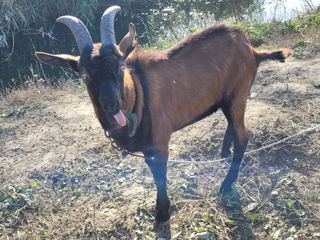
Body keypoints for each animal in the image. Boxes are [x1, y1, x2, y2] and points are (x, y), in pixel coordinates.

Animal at [36, 6, 292, 223]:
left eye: (121, 67)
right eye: (84, 75)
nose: (112, 105)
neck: (138, 95)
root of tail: (252, 49)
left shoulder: (158, 143)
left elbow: (159, 176)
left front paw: (162, 213)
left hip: (237, 95)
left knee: (243, 137)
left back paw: (226, 184)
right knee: (233, 127)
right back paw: (224, 151)